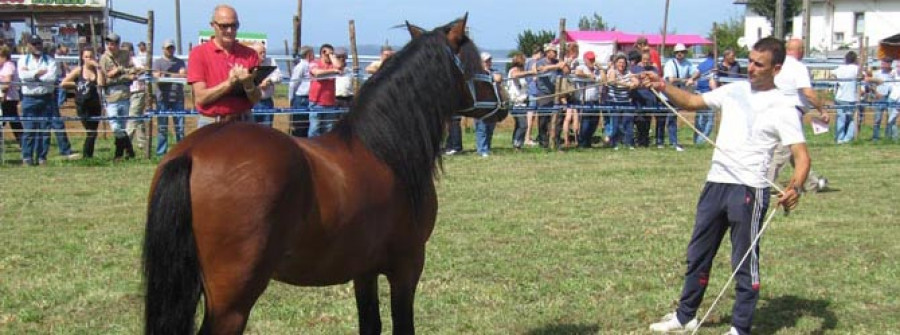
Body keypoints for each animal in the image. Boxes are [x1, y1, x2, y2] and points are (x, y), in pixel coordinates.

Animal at [142, 15, 506, 335]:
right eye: (476, 61)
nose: (503, 103)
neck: (385, 151)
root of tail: (193, 152)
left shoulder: (364, 270)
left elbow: (370, 324)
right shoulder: (407, 264)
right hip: (233, 302)